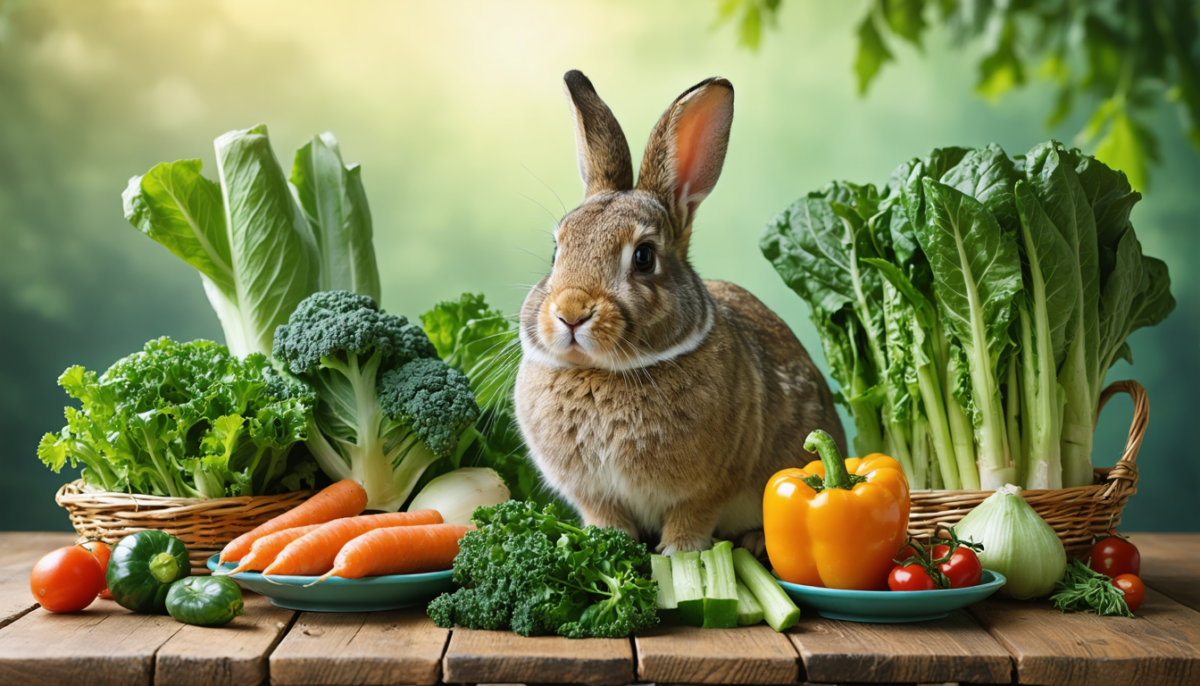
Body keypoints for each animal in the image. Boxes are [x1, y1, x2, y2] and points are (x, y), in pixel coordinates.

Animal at [514, 70, 846, 555]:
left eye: (644, 257)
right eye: (557, 251)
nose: (571, 312)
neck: (603, 373)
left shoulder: (708, 487)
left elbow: (691, 518)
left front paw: (678, 553)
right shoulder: (595, 494)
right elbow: (607, 520)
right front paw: (607, 545)